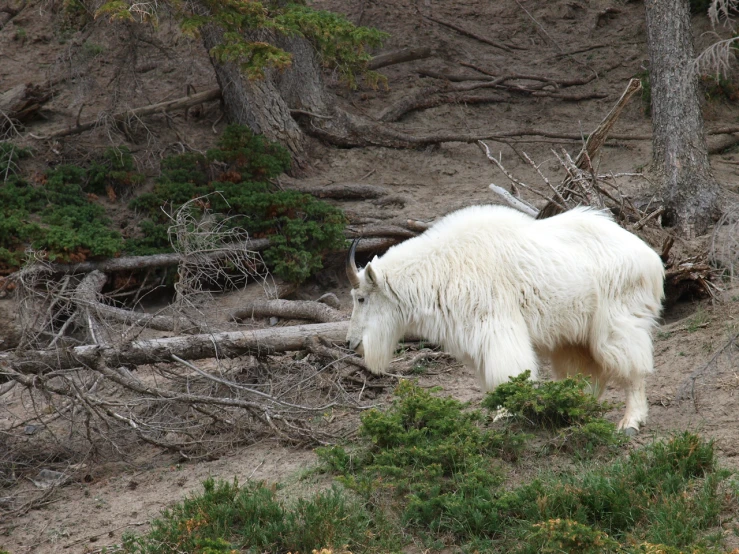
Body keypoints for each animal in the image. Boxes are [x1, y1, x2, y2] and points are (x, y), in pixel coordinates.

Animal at [346, 203, 664, 432]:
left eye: (360, 298)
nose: (351, 343)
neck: (442, 268)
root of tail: (652, 260)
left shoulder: (496, 327)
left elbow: (506, 374)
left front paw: (505, 415)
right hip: (574, 337)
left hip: (618, 319)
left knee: (633, 369)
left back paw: (631, 421)